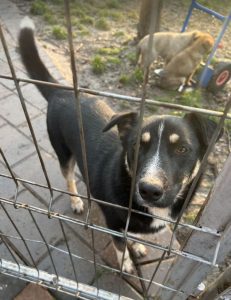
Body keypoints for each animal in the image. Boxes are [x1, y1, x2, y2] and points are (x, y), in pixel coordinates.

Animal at [18, 17, 220, 274]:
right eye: (136, 146)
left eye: (182, 149)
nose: (149, 190)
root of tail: (62, 92)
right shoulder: (113, 224)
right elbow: (120, 245)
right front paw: (126, 263)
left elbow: (132, 236)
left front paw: (138, 245)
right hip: (63, 152)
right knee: (69, 178)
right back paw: (76, 201)